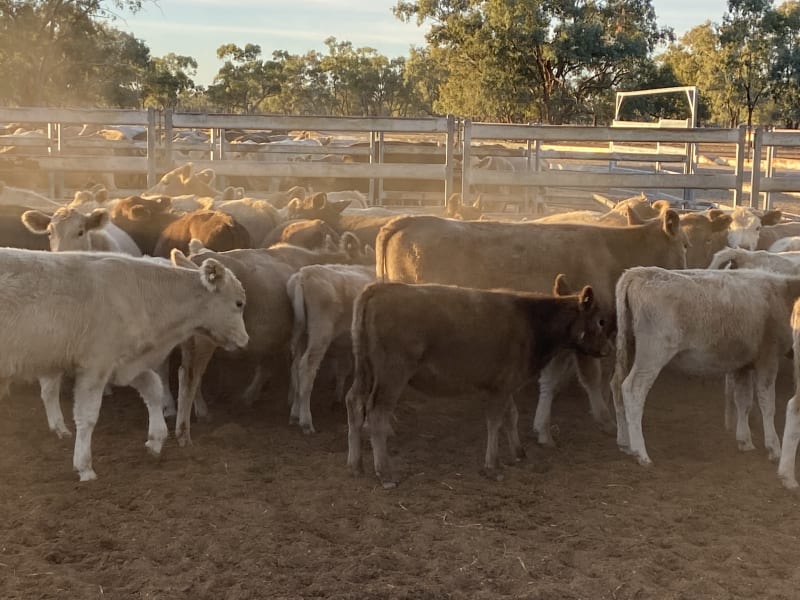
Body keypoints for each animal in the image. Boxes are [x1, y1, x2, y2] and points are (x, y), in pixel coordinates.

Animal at [0, 248, 248, 481]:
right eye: (239, 303)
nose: (245, 340)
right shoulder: (96, 366)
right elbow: (87, 416)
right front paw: (84, 466)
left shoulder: (125, 363)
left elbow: (153, 388)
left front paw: (156, 439)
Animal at [286, 264, 375, 434]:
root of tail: (304, 274)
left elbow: (344, 370)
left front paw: (338, 397)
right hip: (320, 333)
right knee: (306, 368)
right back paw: (306, 422)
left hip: (302, 334)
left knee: (295, 368)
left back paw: (294, 414)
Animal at [344, 277, 613, 488]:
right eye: (600, 320)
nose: (608, 350)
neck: (532, 321)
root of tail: (379, 289)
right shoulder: (501, 387)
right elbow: (495, 421)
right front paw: (493, 466)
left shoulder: (506, 384)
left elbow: (511, 416)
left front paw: (518, 452)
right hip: (392, 375)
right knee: (377, 414)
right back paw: (385, 473)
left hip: (365, 372)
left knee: (354, 404)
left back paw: (355, 465)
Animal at [375, 212, 687, 447]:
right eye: (684, 244)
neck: (613, 252)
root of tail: (407, 220)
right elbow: (591, 377)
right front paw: (604, 419)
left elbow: (555, 379)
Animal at [612, 267, 800, 467]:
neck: (783, 294)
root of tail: (640, 272)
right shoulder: (768, 358)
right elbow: (767, 404)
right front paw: (774, 448)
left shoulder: (742, 364)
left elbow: (743, 401)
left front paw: (745, 441)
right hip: (652, 353)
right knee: (633, 389)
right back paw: (641, 453)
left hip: (628, 346)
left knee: (616, 385)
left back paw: (624, 442)